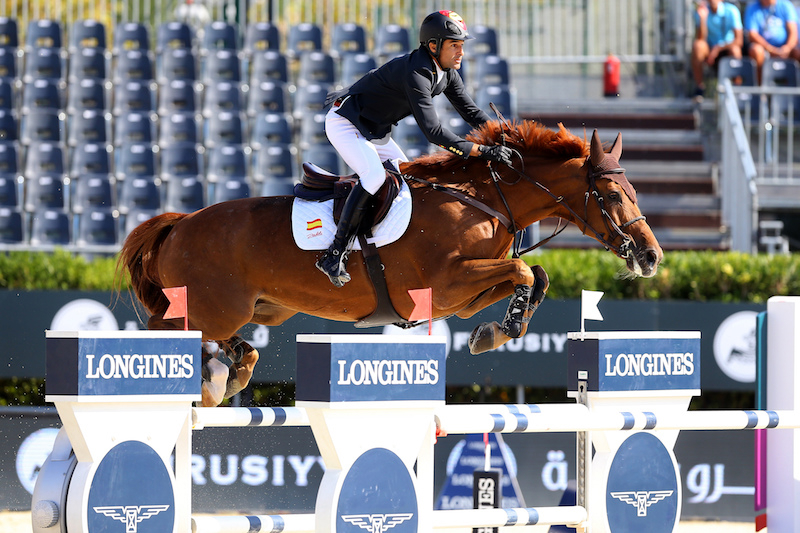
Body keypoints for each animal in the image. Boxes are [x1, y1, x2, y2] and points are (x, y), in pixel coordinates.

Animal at [119, 119, 664, 404]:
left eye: (636, 191)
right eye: (613, 195)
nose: (652, 256)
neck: (483, 200)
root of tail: (179, 224)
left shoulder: (459, 299)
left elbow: (534, 275)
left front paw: (493, 332)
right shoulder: (446, 285)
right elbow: (524, 270)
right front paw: (503, 329)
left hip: (259, 309)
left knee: (231, 345)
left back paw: (226, 375)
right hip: (211, 307)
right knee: (164, 331)